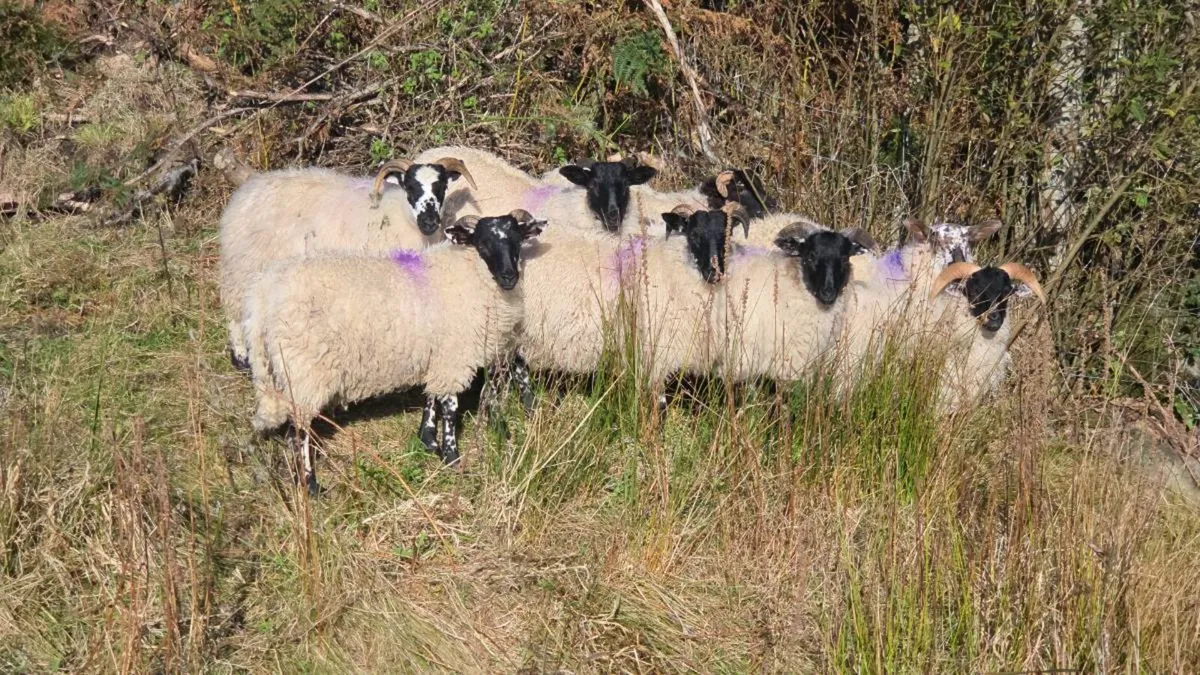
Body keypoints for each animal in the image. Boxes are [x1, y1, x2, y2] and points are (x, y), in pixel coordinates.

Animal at [219, 155, 477, 370]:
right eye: (410, 187)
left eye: (441, 187)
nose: (429, 221)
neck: (401, 215)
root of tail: (247, 191)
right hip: (242, 267)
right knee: (235, 313)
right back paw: (241, 357)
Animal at [242, 209, 545, 493]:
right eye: (482, 243)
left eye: (517, 240)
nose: (509, 276)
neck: (467, 273)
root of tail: (263, 295)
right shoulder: (453, 358)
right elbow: (449, 407)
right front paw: (452, 457)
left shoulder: (437, 355)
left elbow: (431, 398)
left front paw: (428, 440)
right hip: (304, 371)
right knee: (298, 433)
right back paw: (311, 486)